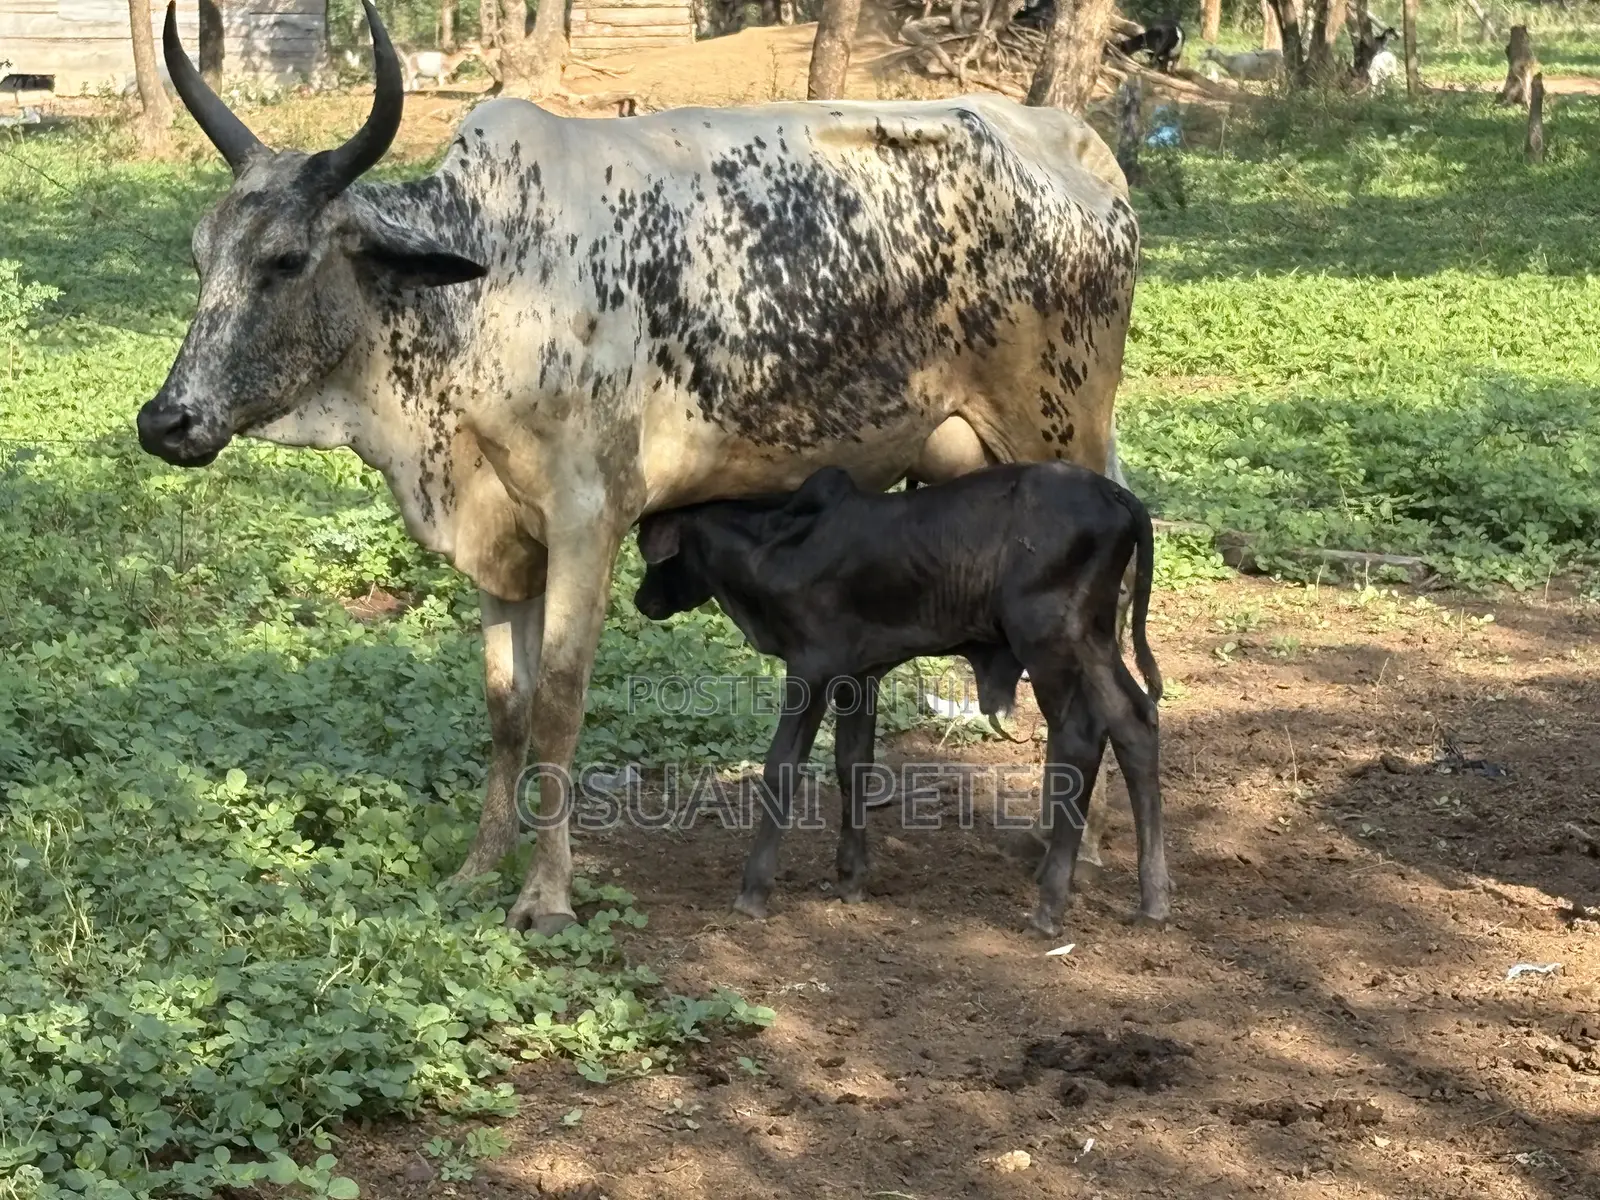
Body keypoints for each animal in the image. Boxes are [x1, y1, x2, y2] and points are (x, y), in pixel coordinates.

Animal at [632, 463, 1168, 937]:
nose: (642, 600)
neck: (775, 545)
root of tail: (1114, 494)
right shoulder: (859, 674)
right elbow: (853, 764)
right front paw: (851, 878)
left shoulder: (811, 665)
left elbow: (783, 765)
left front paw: (753, 891)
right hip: (1095, 641)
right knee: (1134, 722)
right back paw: (1152, 902)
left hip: (1049, 641)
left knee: (1079, 737)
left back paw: (1050, 907)